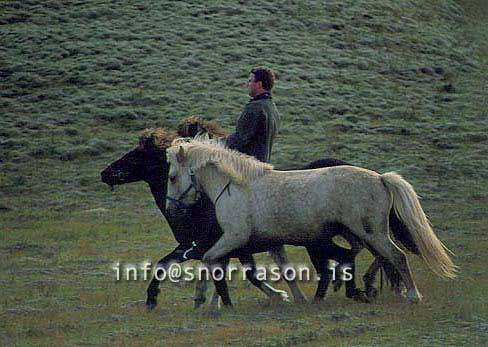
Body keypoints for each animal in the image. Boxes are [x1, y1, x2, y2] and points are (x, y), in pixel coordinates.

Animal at [166, 137, 456, 304]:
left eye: (172, 176)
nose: (171, 209)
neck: (236, 187)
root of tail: (380, 178)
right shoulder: (271, 243)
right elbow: (285, 271)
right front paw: (297, 298)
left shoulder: (234, 238)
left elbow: (208, 259)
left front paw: (201, 297)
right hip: (362, 233)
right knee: (378, 257)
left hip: (372, 233)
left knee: (396, 256)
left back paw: (412, 295)